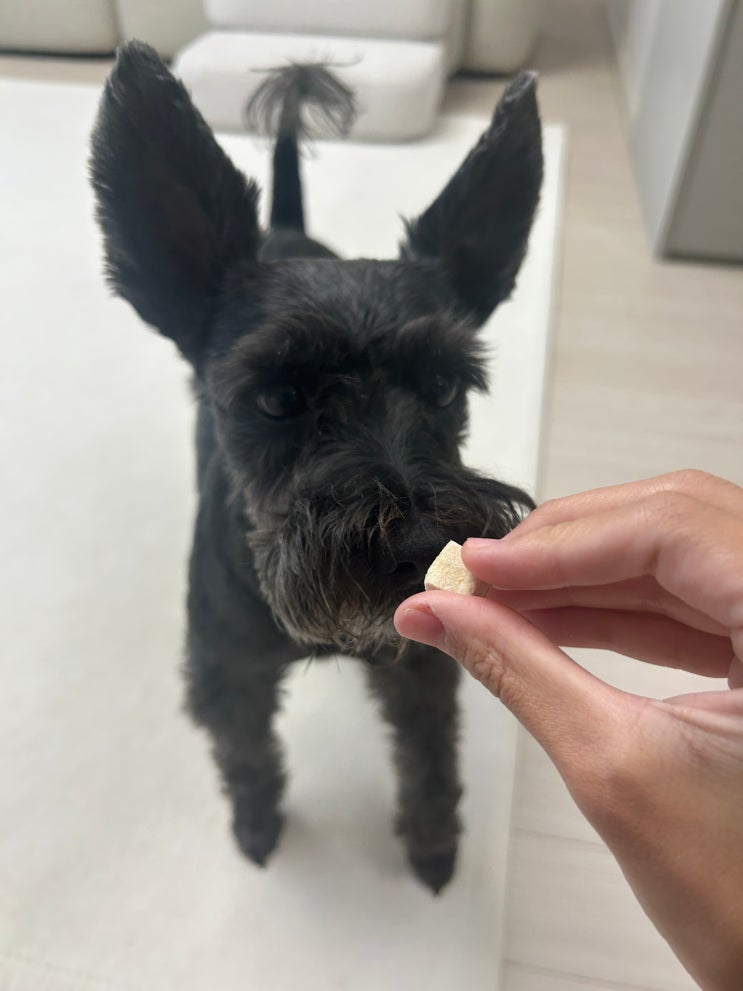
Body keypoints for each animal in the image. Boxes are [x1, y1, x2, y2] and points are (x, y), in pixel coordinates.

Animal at [90, 42, 543, 894]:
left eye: (445, 385)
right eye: (276, 398)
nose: (420, 541)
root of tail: (288, 229)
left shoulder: (419, 663)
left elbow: (429, 757)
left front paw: (431, 846)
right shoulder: (228, 673)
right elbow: (245, 754)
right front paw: (256, 824)